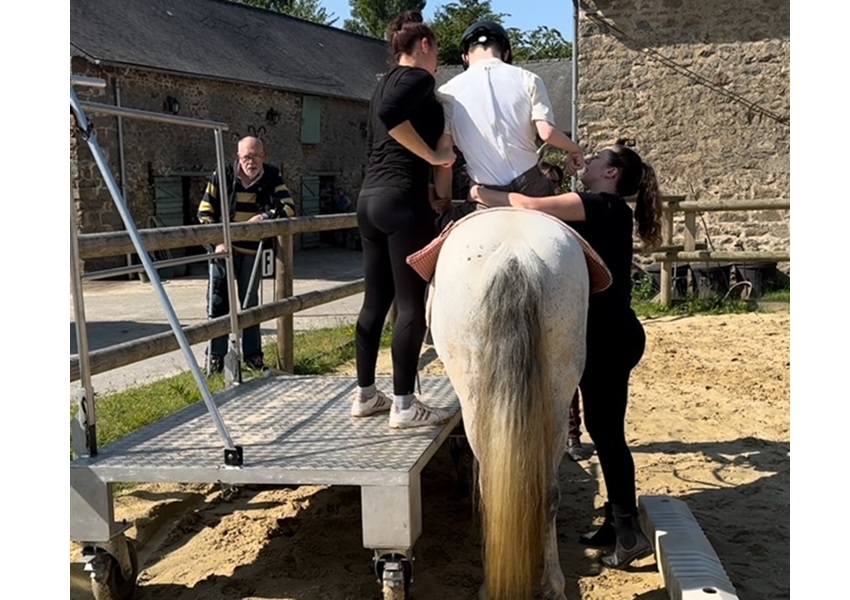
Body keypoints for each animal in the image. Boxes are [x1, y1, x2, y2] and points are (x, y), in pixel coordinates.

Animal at [428, 207, 588, 600]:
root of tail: (515, 255)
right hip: (558, 392)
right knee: (549, 492)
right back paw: (554, 585)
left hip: (474, 394)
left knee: (490, 487)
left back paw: (490, 585)